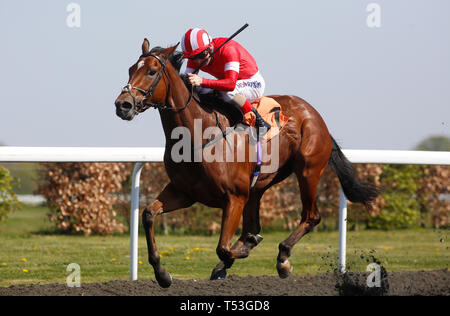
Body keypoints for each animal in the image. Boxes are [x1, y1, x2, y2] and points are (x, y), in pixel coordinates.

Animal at [113, 39, 380, 286]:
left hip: (308, 170)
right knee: (255, 224)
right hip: (259, 185)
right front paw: (162, 273)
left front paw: (243, 250)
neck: (198, 134)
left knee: (311, 216)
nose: (122, 104)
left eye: (151, 71)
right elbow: (148, 214)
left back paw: (282, 258)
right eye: (130, 69)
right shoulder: (185, 192)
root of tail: (314, 113)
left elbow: (223, 247)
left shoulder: (234, 197)